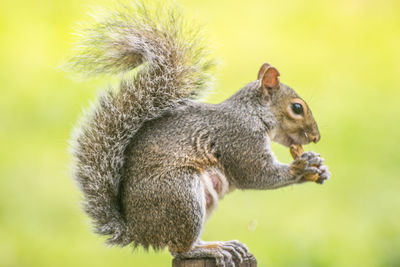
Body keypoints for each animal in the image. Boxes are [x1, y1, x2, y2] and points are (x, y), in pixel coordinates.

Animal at [66, 1, 332, 266]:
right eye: (297, 108)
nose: (316, 137)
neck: (252, 113)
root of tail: (138, 232)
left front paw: (319, 166)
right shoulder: (239, 138)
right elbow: (258, 174)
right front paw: (301, 167)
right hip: (180, 194)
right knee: (179, 248)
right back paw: (212, 249)